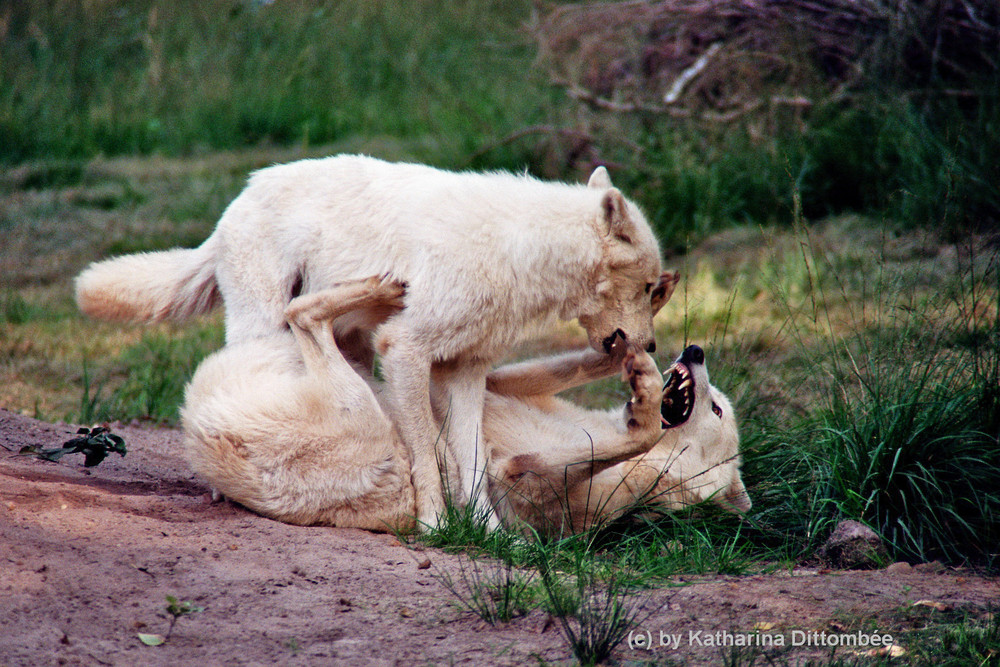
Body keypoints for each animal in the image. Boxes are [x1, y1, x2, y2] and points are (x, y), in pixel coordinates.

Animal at [76, 154, 664, 528]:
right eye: (651, 287)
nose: (651, 347)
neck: (518, 250)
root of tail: (239, 198)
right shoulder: (405, 351)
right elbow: (428, 457)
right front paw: (436, 526)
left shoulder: (464, 369)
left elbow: (471, 463)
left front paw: (491, 536)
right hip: (269, 326)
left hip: (350, 346)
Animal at [182, 274, 752, 536]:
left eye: (717, 411)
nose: (695, 351)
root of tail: (199, 428)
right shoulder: (497, 384)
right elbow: (571, 369)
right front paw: (635, 361)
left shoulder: (523, 485)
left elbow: (631, 436)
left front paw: (645, 403)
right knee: (305, 312)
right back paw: (382, 289)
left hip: (359, 404)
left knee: (304, 316)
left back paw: (375, 290)